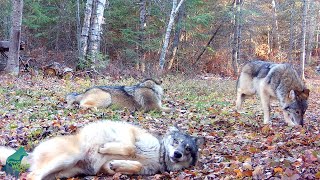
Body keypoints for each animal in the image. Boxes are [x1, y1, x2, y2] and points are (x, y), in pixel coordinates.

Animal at [0, 120, 204, 179]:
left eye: (187, 149)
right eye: (175, 141)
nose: (177, 154)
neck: (159, 154)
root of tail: (30, 154)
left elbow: (135, 165)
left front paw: (117, 165)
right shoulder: (128, 132)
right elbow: (129, 147)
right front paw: (105, 148)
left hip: (62, 173)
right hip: (67, 158)